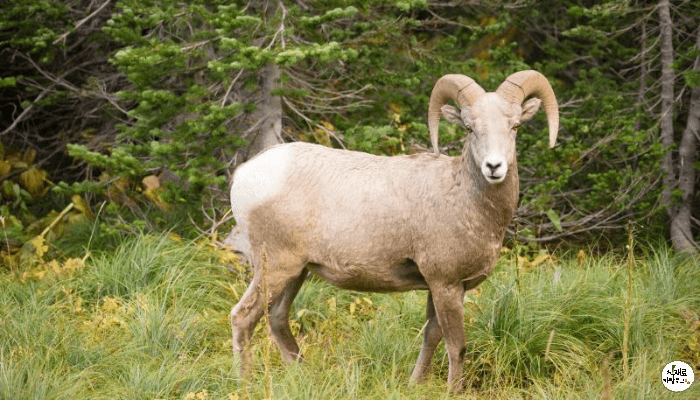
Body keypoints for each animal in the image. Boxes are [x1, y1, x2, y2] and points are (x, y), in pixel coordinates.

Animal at [228, 69, 556, 390]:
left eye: (515, 126)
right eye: (469, 128)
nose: (494, 167)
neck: (466, 201)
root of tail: (244, 174)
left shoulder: (442, 288)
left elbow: (431, 336)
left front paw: (414, 384)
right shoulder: (446, 284)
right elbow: (456, 346)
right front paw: (454, 391)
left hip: (296, 272)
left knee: (277, 319)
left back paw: (304, 375)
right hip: (276, 267)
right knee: (243, 317)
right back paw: (246, 385)